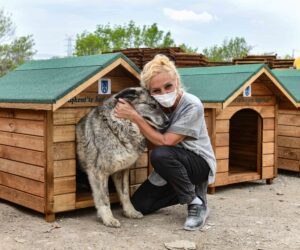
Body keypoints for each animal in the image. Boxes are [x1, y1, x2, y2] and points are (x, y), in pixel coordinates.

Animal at [75, 87, 169, 228]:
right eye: (153, 106)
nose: (168, 121)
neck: (119, 127)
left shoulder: (122, 171)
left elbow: (125, 194)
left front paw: (130, 212)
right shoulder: (99, 172)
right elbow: (104, 198)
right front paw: (108, 218)